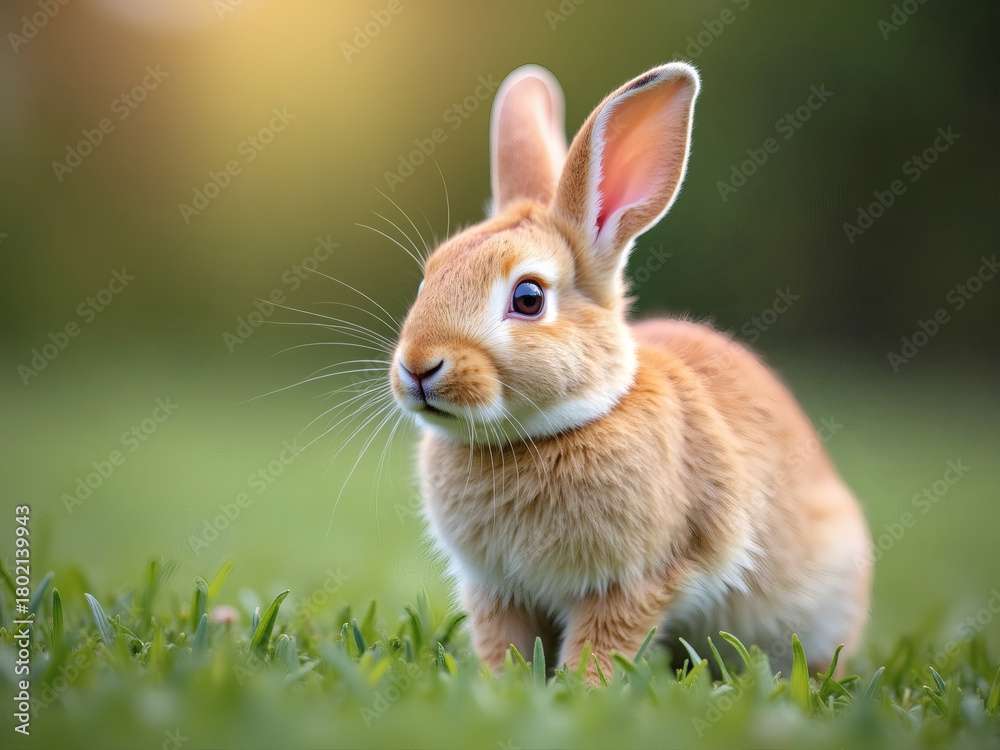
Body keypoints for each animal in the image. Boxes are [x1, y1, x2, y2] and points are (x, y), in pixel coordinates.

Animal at [388, 62, 872, 684]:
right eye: (430, 277)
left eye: (528, 298)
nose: (418, 366)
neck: (538, 436)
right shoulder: (497, 590)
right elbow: (506, 645)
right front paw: (503, 686)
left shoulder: (633, 581)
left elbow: (604, 642)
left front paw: (581, 691)